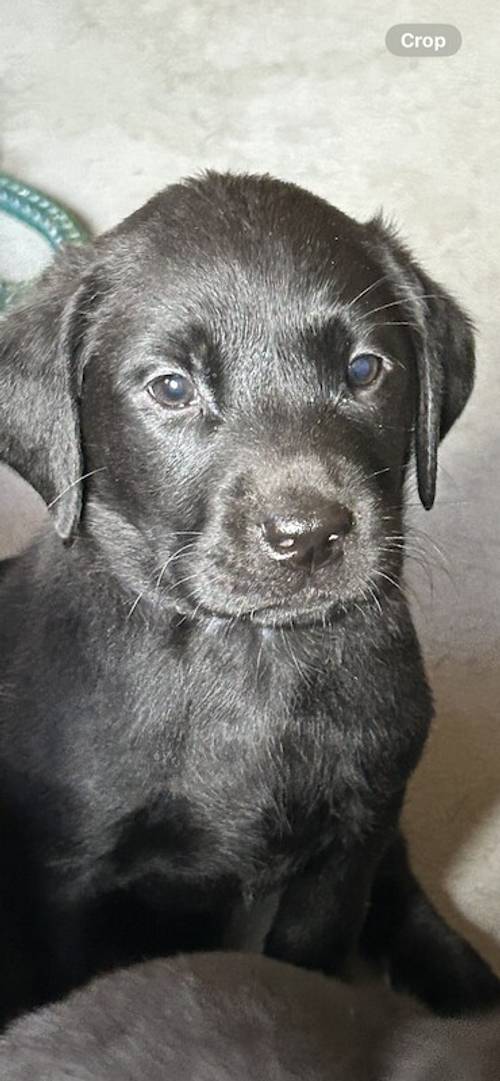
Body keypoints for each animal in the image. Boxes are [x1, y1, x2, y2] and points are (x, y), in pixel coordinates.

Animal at [0, 170, 500, 1020]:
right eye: (171, 387)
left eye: (364, 370)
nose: (309, 535)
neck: (248, 655)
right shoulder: (68, 875)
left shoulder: (347, 845)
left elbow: (310, 958)